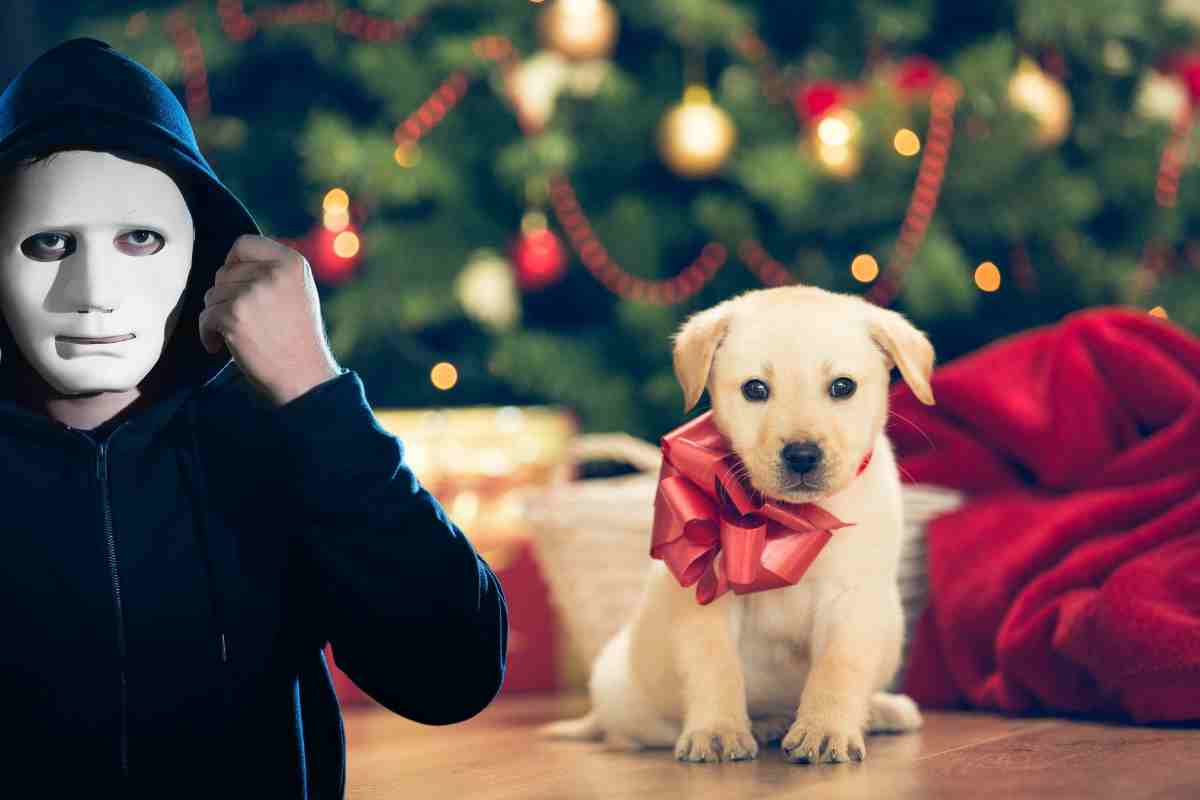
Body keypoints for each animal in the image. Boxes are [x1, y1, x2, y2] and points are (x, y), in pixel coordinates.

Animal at [544, 286, 936, 762]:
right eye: (755, 389)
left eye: (843, 387)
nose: (802, 455)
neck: (789, 517)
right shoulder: (707, 597)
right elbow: (715, 666)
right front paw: (718, 730)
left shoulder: (853, 599)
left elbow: (838, 669)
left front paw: (826, 729)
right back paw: (762, 724)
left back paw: (880, 710)